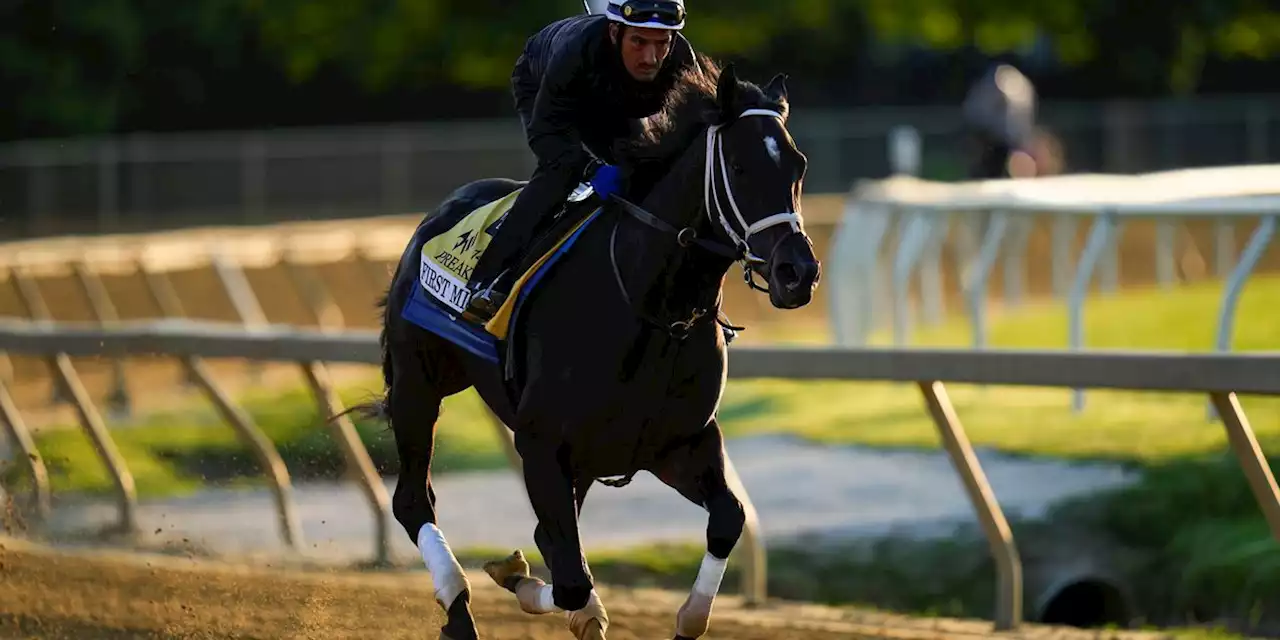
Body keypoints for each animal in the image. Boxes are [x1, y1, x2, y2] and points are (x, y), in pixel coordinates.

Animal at [355, 56, 819, 640]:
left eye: (798, 165)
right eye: (736, 165)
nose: (798, 272)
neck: (653, 309)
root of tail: (434, 217)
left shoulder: (677, 444)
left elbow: (727, 520)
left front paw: (682, 616)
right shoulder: (541, 443)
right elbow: (571, 578)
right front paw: (534, 587)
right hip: (418, 384)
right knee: (414, 501)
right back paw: (459, 608)